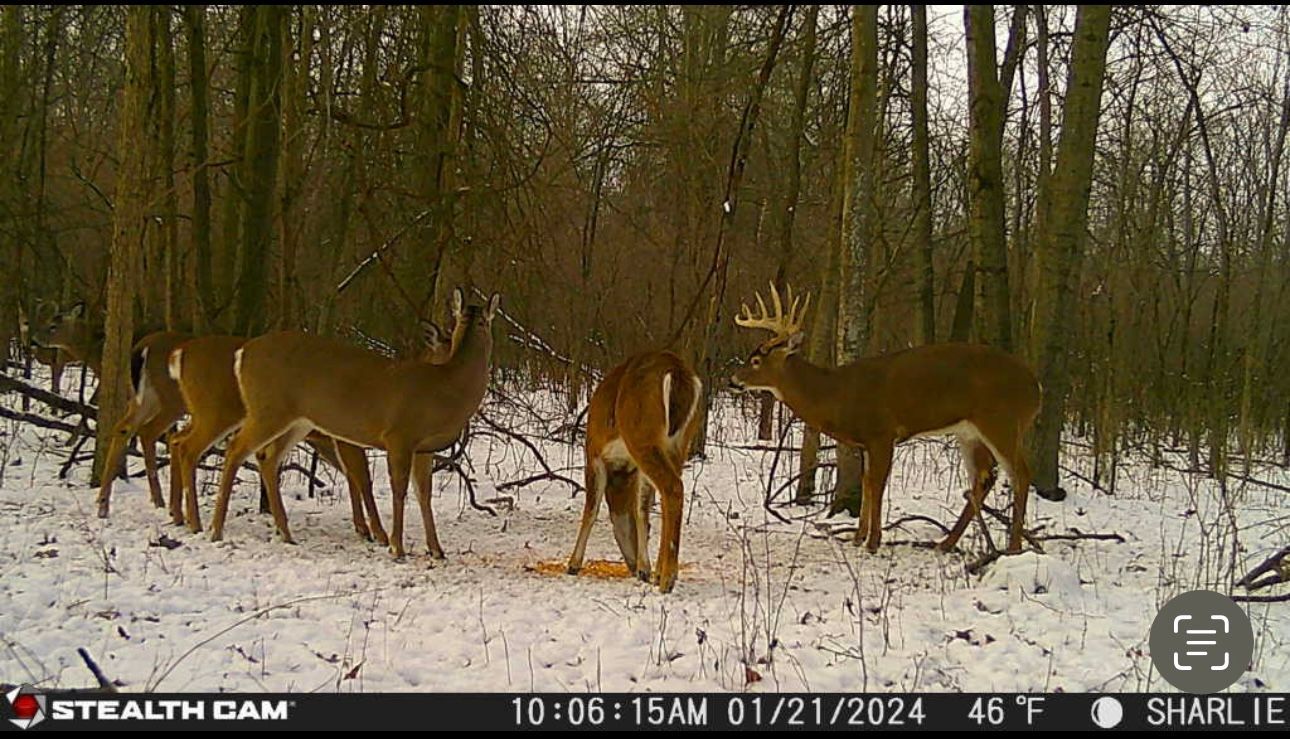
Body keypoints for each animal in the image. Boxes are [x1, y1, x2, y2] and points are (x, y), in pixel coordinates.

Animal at [166, 324, 452, 542]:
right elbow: (362, 479)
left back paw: (181, 515)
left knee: (177, 440)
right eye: (445, 345)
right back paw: (198, 523)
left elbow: (355, 478)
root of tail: (178, 354)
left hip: (210, 414)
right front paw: (377, 533)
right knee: (196, 447)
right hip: (220, 411)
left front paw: (364, 528)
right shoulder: (345, 438)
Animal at [208, 288, 499, 558]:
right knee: (235, 449)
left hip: (296, 420)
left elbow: (423, 493)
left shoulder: (424, 447)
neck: (446, 387)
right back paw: (216, 530)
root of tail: (243, 353)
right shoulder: (399, 435)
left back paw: (286, 534)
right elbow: (399, 490)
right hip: (268, 409)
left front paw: (436, 549)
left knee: (267, 458)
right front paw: (396, 547)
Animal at [566, 351, 702, 594]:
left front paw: (573, 563)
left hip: (642, 435)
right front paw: (644, 568)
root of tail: (676, 369)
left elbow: (591, 509)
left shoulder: (593, 454)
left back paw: (667, 579)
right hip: (679, 443)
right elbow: (641, 510)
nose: (631, 565)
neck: (620, 472)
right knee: (668, 494)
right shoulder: (635, 469)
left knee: (673, 488)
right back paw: (660, 573)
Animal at [729, 283, 1066, 555]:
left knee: (1020, 474)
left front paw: (872, 541)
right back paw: (946, 543)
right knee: (984, 478)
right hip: (969, 432)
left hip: (1002, 421)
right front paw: (858, 537)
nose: (733, 380)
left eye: (756, 360)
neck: (836, 394)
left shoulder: (882, 433)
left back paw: (1013, 547)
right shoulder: (866, 441)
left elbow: (877, 484)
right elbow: (866, 483)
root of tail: (1036, 387)